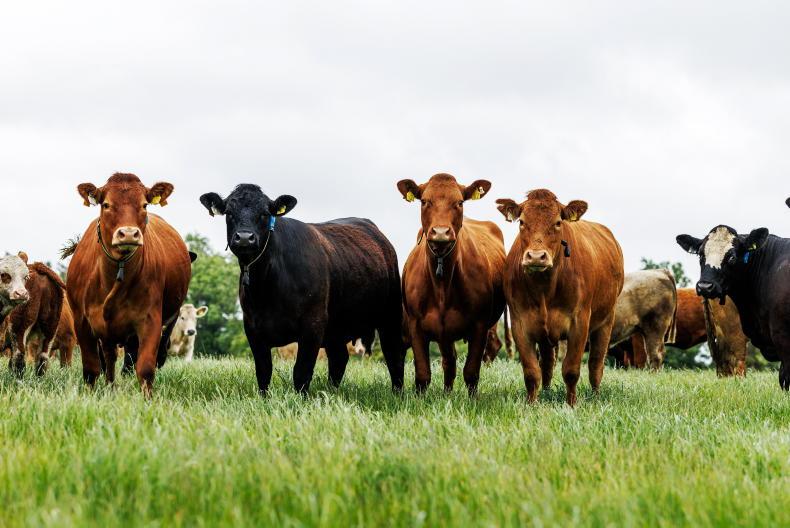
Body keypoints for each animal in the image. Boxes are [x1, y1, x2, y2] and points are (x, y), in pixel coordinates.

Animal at [67, 173, 192, 396]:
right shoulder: (82, 322)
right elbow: (91, 369)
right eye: (106, 204)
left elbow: (145, 368)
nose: (128, 233)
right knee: (108, 359)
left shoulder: (151, 320)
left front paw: (147, 399)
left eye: (144, 205)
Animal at [200, 184, 405, 394]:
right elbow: (263, 371)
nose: (244, 238)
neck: (267, 287)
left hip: (390, 314)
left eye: (265, 213)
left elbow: (301, 371)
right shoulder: (252, 327)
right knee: (339, 358)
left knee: (394, 354)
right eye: (229, 213)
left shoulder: (313, 324)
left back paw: (396, 393)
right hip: (337, 327)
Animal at [397, 173, 506, 394]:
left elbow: (471, 372)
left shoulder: (480, 325)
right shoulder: (415, 325)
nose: (440, 232)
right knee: (449, 362)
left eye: (460, 202)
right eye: (424, 201)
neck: (442, 284)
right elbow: (423, 374)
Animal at [496, 189, 624, 406]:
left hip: (606, 321)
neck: (544, 288)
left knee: (596, 364)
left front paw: (571, 403)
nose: (536, 257)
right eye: (521, 221)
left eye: (558, 222)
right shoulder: (520, 323)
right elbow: (532, 371)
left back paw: (596, 395)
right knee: (547, 363)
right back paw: (546, 392)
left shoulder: (579, 323)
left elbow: (571, 370)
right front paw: (531, 403)